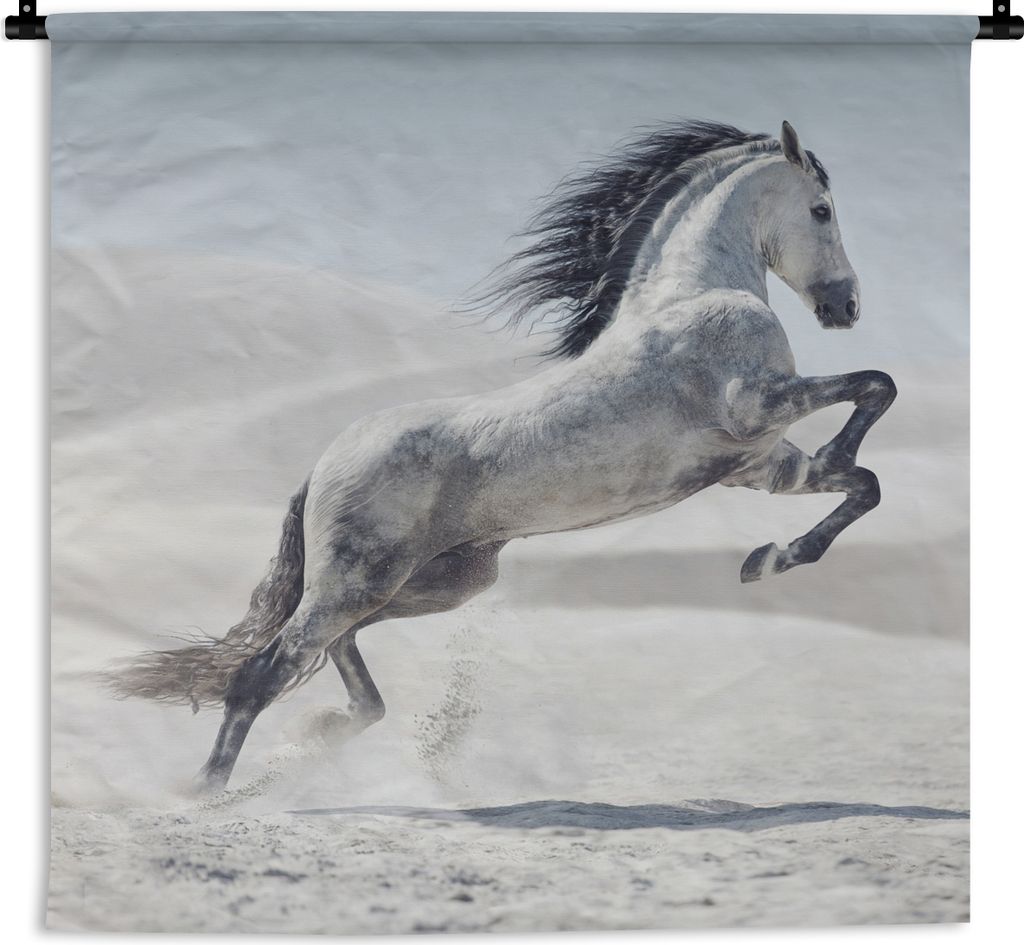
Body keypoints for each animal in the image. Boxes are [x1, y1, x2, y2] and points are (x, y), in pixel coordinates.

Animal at [109, 120, 896, 792]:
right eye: (822, 209)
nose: (847, 307)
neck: (693, 295)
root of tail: (323, 463)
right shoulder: (756, 406)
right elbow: (876, 387)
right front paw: (795, 517)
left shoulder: (759, 465)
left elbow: (864, 483)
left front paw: (768, 559)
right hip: (360, 580)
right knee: (264, 670)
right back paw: (206, 792)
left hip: (435, 583)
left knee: (332, 652)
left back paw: (325, 730)